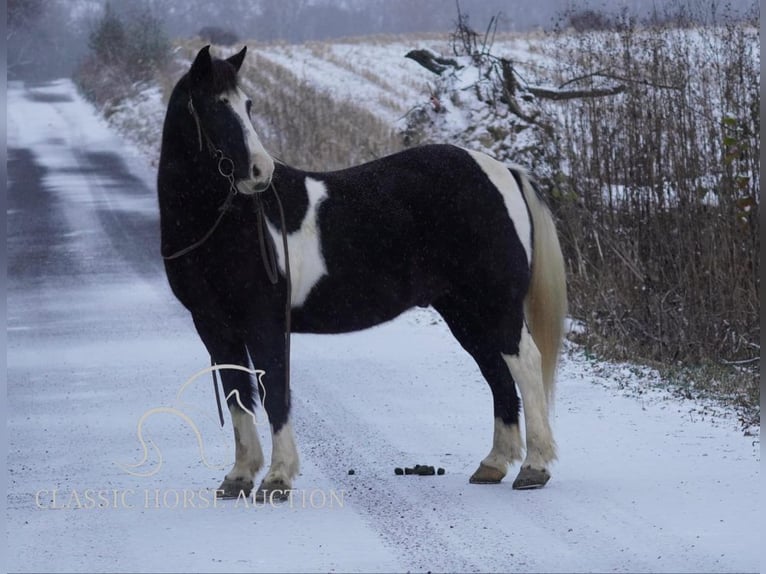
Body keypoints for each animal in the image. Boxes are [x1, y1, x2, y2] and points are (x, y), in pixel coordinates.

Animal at [159, 46, 568, 504]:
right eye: (215, 106)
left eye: (247, 105)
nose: (259, 172)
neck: (229, 223)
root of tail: (502, 172)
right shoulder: (214, 325)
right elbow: (237, 394)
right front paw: (239, 477)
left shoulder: (265, 321)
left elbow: (275, 393)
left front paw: (278, 478)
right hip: (464, 312)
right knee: (497, 374)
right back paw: (494, 464)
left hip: (495, 305)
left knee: (525, 365)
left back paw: (534, 468)